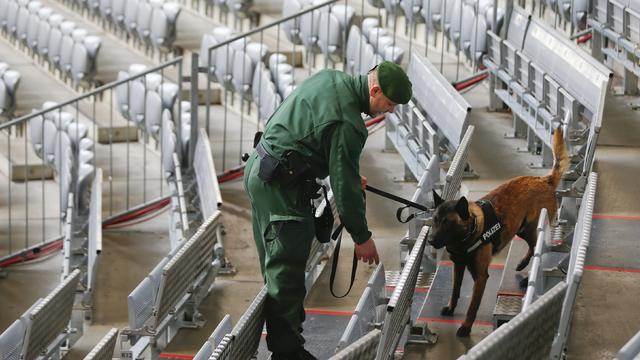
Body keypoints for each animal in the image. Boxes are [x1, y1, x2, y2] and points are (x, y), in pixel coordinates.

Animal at [428, 127, 568, 338]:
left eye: (448, 224)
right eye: (435, 220)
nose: (430, 240)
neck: (470, 232)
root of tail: (544, 180)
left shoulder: (480, 277)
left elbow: (472, 306)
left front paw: (466, 326)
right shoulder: (458, 266)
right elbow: (455, 290)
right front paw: (451, 307)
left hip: (533, 228)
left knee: (538, 249)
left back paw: (527, 276)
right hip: (522, 229)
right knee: (531, 247)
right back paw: (522, 265)